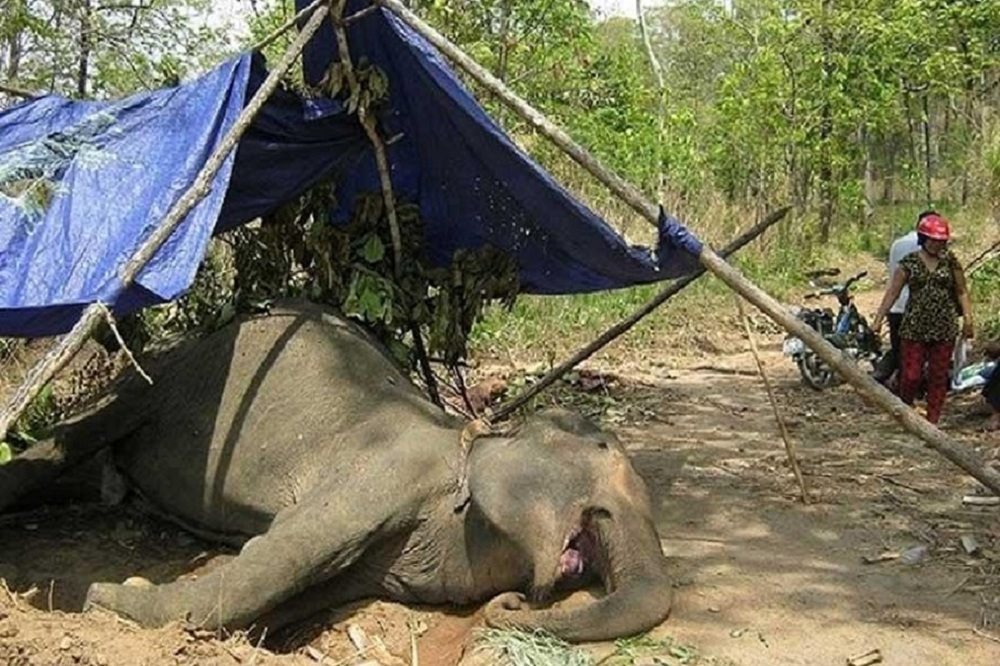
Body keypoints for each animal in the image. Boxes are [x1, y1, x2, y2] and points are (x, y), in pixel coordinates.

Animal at [9, 301, 673, 642]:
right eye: (604, 449)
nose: (511, 604)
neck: (470, 438)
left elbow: (302, 595)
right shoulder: (386, 472)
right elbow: (277, 562)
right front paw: (103, 598)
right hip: (168, 371)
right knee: (79, 434)